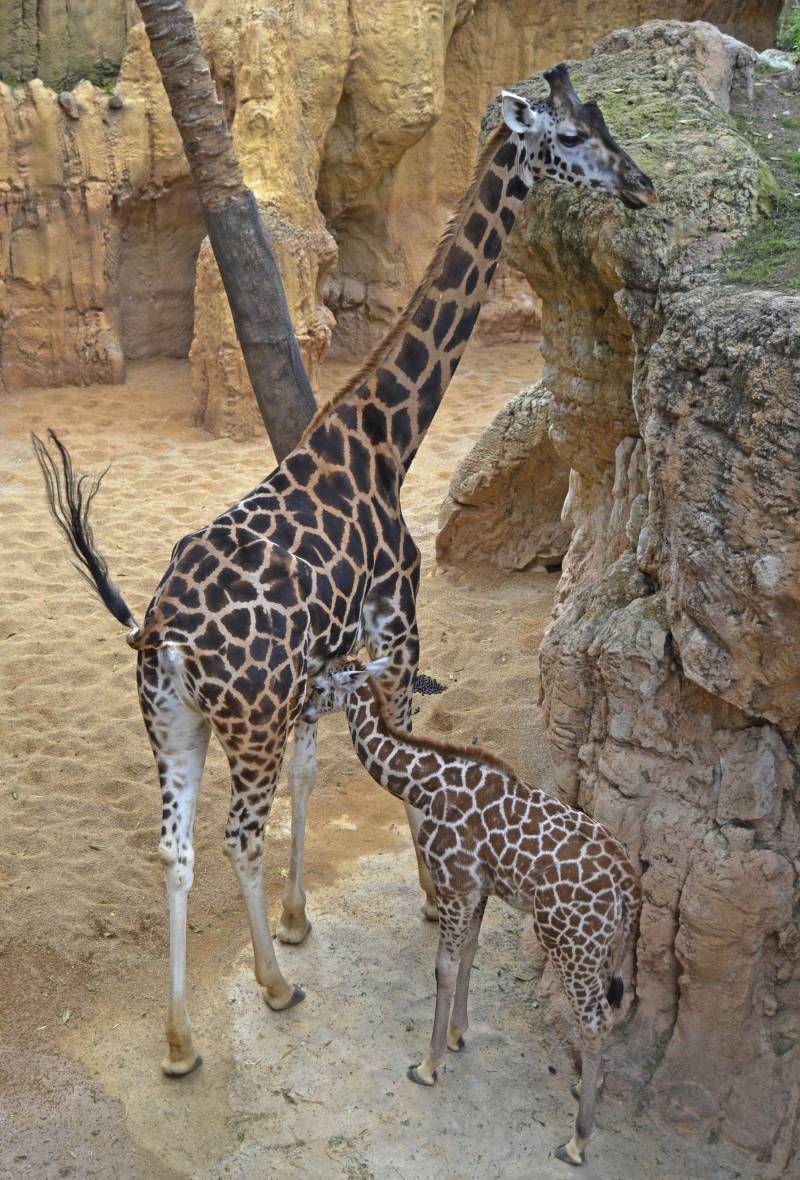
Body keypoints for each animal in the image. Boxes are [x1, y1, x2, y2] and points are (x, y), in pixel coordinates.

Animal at [32, 66, 656, 1080]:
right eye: (571, 134)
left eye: (601, 122)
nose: (641, 184)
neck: (386, 439)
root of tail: (160, 634)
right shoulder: (396, 624)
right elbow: (396, 754)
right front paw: (425, 903)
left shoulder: (324, 663)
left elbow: (316, 771)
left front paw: (298, 919)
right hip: (240, 721)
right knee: (234, 837)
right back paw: (274, 991)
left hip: (172, 724)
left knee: (174, 849)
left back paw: (180, 1042)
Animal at [304, 660, 641, 1165]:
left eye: (322, 683)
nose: (301, 712)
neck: (425, 785)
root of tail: (629, 886)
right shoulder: (478, 887)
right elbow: (469, 954)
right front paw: (457, 1035)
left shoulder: (454, 880)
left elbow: (442, 966)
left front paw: (428, 1064)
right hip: (601, 947)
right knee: (610, 1012)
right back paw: (587, 1083)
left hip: (567, 941)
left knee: (596, 1019)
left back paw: (577, 1140)